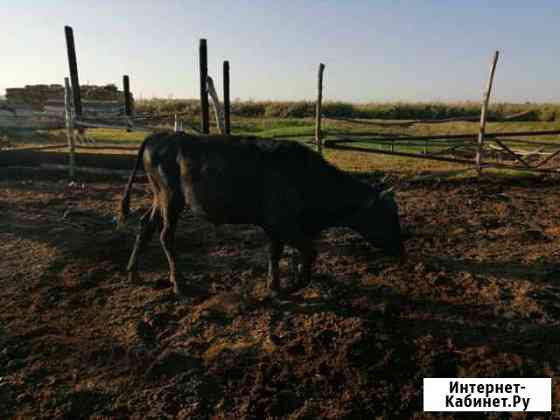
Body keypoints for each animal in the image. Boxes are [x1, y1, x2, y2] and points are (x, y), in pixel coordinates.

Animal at [120, 133, 404, 296]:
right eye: (387, 216)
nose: (401, 249)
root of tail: (159, 135)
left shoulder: (274, 227)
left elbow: (274, 254)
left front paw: (274, 286)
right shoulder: (283, 223)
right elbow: (310, 252)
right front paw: (293, 285)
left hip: (159, 197)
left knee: (146, 225)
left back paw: (134, 273)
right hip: (171, 199)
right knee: (166, 235)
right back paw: (179, 283)